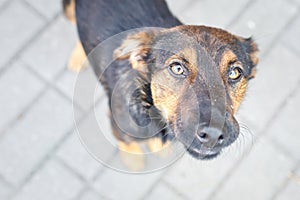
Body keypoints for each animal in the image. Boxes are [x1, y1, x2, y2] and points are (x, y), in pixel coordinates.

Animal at [63, 0, 258, 170]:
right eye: (177, 68)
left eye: (234, 73)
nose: (213, 134)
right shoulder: (119, 125)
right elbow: (127, 143)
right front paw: (134, 159)